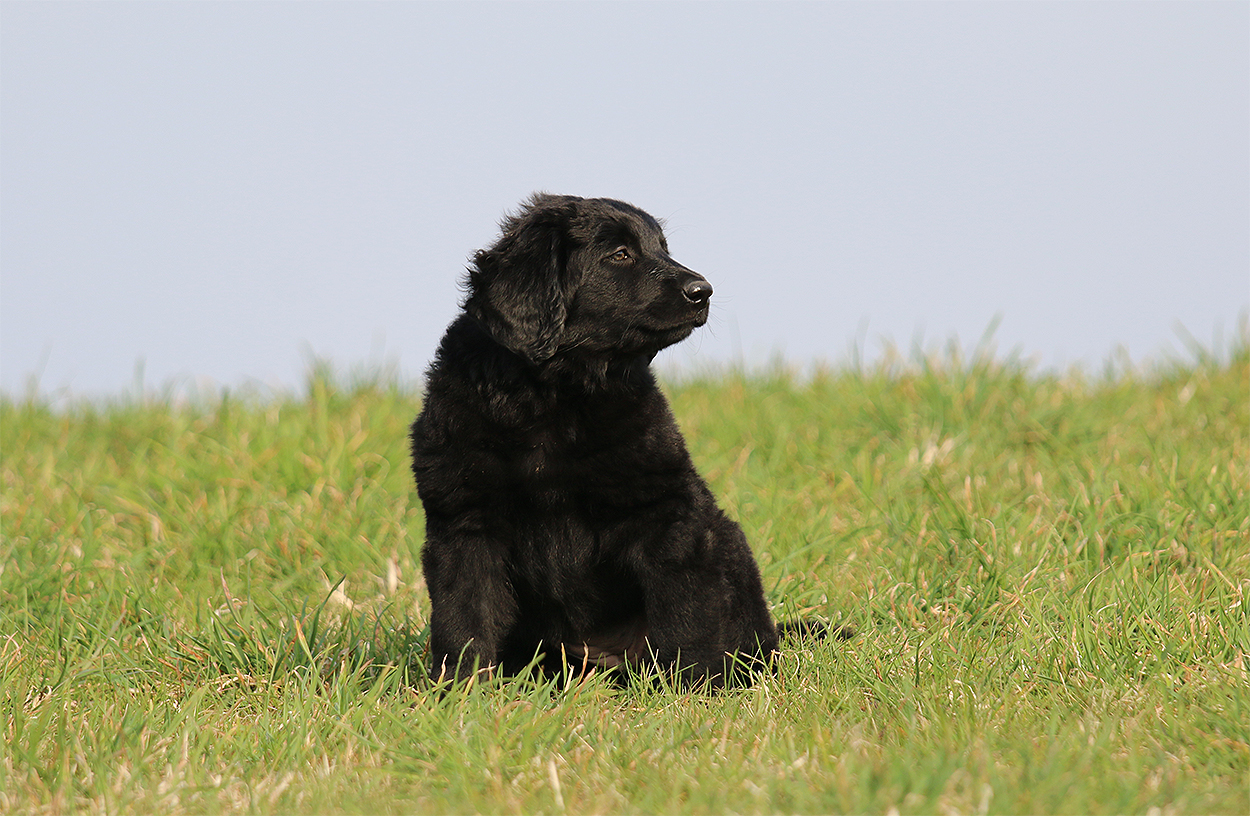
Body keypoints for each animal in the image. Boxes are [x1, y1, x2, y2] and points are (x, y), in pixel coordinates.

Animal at [411, 194, 823, 689]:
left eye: (663, 248)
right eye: (620, 255)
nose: (702, 291)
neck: (554, 395)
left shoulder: (666, 513)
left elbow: (688, 614)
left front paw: (700, 689)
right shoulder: (464, 522)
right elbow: (465, 617)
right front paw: (457, 692)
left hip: (728, 545)